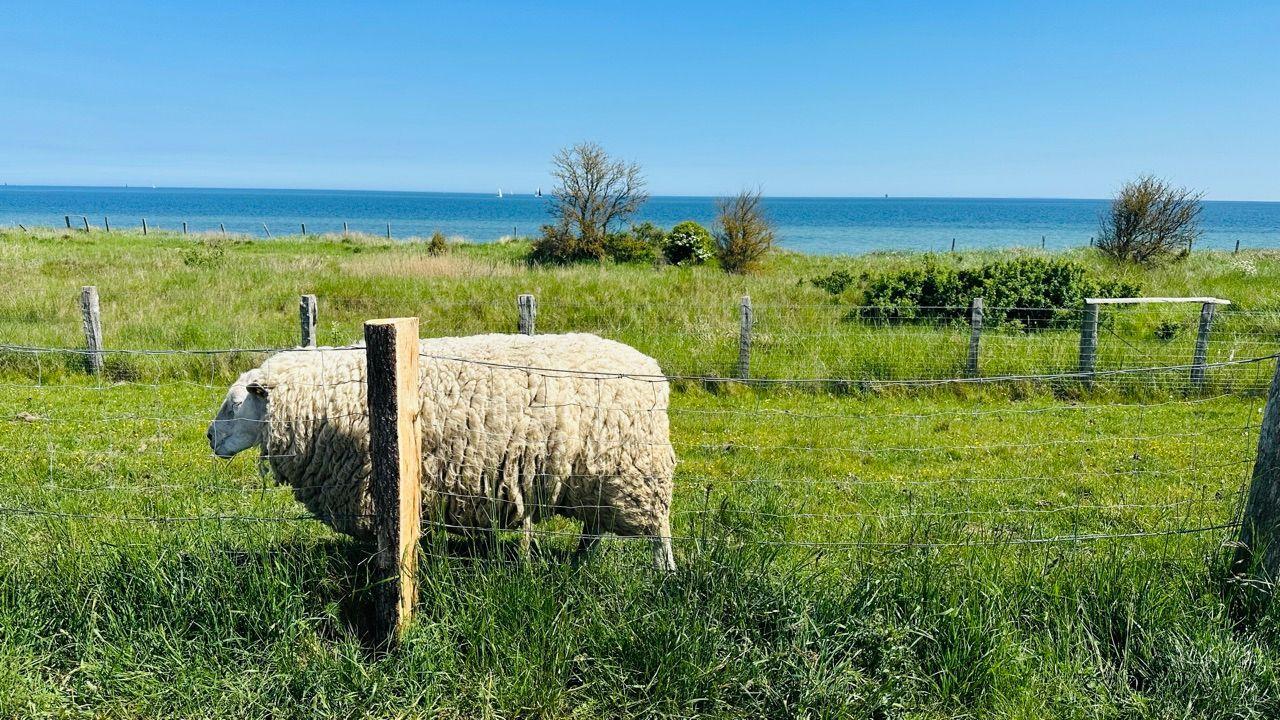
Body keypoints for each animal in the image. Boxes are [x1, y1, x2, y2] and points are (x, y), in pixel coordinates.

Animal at [208, 333, 677, 570]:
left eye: (234, 405)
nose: (210, 438)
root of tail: (651, 368)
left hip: (636, 470)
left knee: (659, 529)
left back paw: (665, 574)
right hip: (596, 474)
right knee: (595, 526)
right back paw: (578, 562)